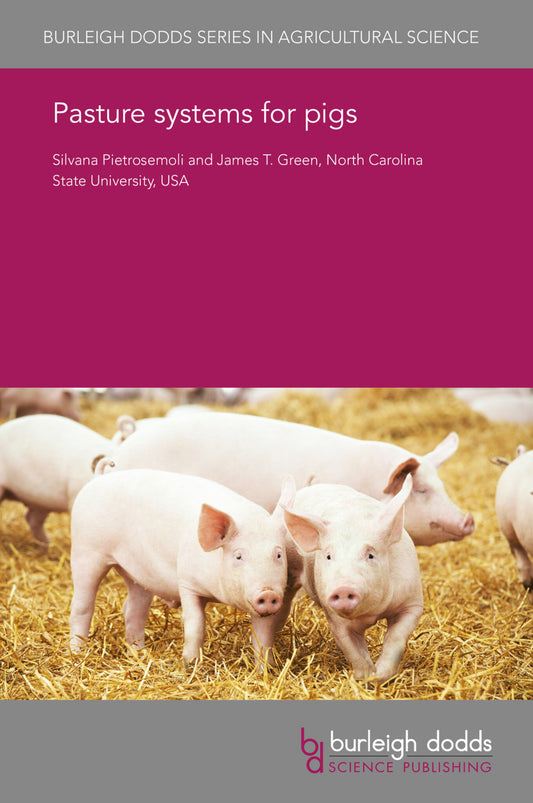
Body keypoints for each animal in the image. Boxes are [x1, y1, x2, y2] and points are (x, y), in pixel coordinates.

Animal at [69, 469, 294, 666]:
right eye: (238, 555)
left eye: (278, 554)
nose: (267, 594)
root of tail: (97, 479)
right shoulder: (187, 582)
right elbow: (195, 624)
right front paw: (189, 664)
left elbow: (263, 637)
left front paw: (266, 670)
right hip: (86, 551)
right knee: (82, 606)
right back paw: (77, 652)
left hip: (139, 575)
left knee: (134, 610)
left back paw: (139, 653)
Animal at [281, 475, 422, 681]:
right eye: (329, 556)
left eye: (371, 555)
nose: (343, 589)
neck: (372, 614)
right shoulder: (335, 618)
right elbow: (354, 652)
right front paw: (367, 677)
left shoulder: (412, 603)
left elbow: (396, 639)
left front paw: (380, 675)